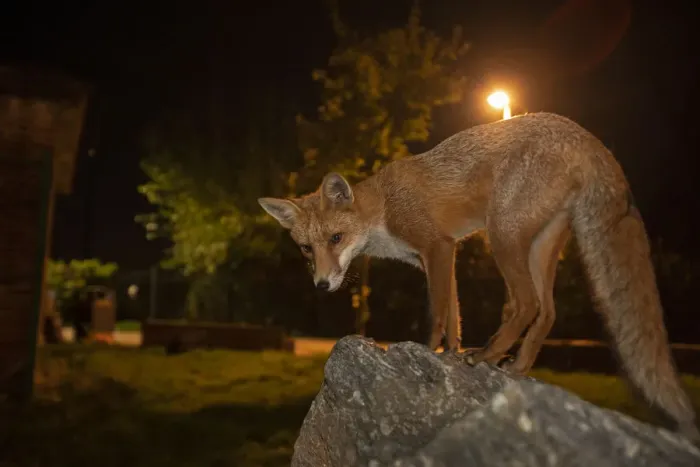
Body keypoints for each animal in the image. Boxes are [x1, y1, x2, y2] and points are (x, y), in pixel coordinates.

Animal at [258, 111, 699, 441]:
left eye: (336, 238)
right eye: (306, 249)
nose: (322, 285)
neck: (383, 208)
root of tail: (587, 136)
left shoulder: (437, 246)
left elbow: (437, 314)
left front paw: (426, 352)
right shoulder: (437, 257)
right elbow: (455, 316)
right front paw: (449, 356)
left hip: (501, 235)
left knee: (528, 304)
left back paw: (487, 355)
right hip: (538, 246)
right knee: (548, 312)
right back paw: (516, 368)